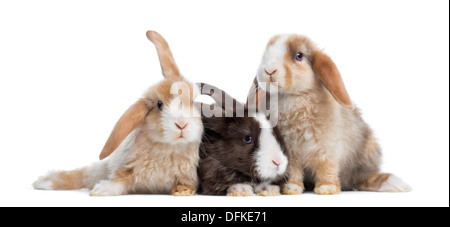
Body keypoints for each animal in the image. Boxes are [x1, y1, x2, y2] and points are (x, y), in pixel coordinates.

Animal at [33, 31, 204, 196]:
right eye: (159, 104)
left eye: (191, 101)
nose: (182, 124)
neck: (167, 147)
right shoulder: (126, 169)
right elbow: (118, 182)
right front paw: (100, 191)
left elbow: (184, 183)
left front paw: (183, 191)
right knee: (83, 175)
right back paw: (43, 182)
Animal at [248, 33, 414, 195]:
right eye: (265, 53)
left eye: (299, 56)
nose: (269, 70)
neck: (294, 97)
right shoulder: (290, 152)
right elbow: (294, 170)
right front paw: (291, 188)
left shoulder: (327, 147)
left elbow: (326, 166)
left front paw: (327, 188)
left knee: (364, 178)